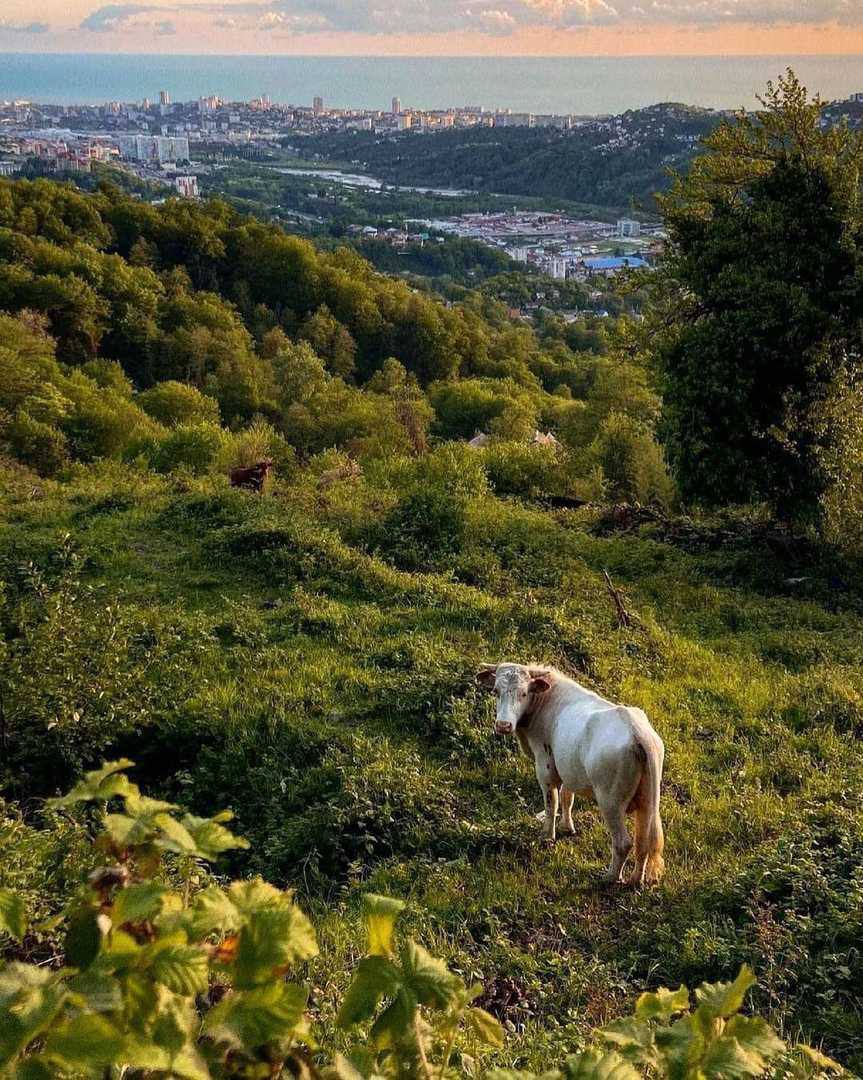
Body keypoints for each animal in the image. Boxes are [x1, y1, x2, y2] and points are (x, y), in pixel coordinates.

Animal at [475, 656, 665, 885]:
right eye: (496, 691)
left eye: (524, 693)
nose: (503, 725)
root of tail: (638, 732)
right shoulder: (567, 768)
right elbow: (567, 797)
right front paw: (567, 826)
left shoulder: (546, 767)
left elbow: (552, 803)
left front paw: (548, 836)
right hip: (647, 802)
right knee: (643, 842)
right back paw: (635, 880)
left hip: (610, 801)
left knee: (623, 842)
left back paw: (610, 877)